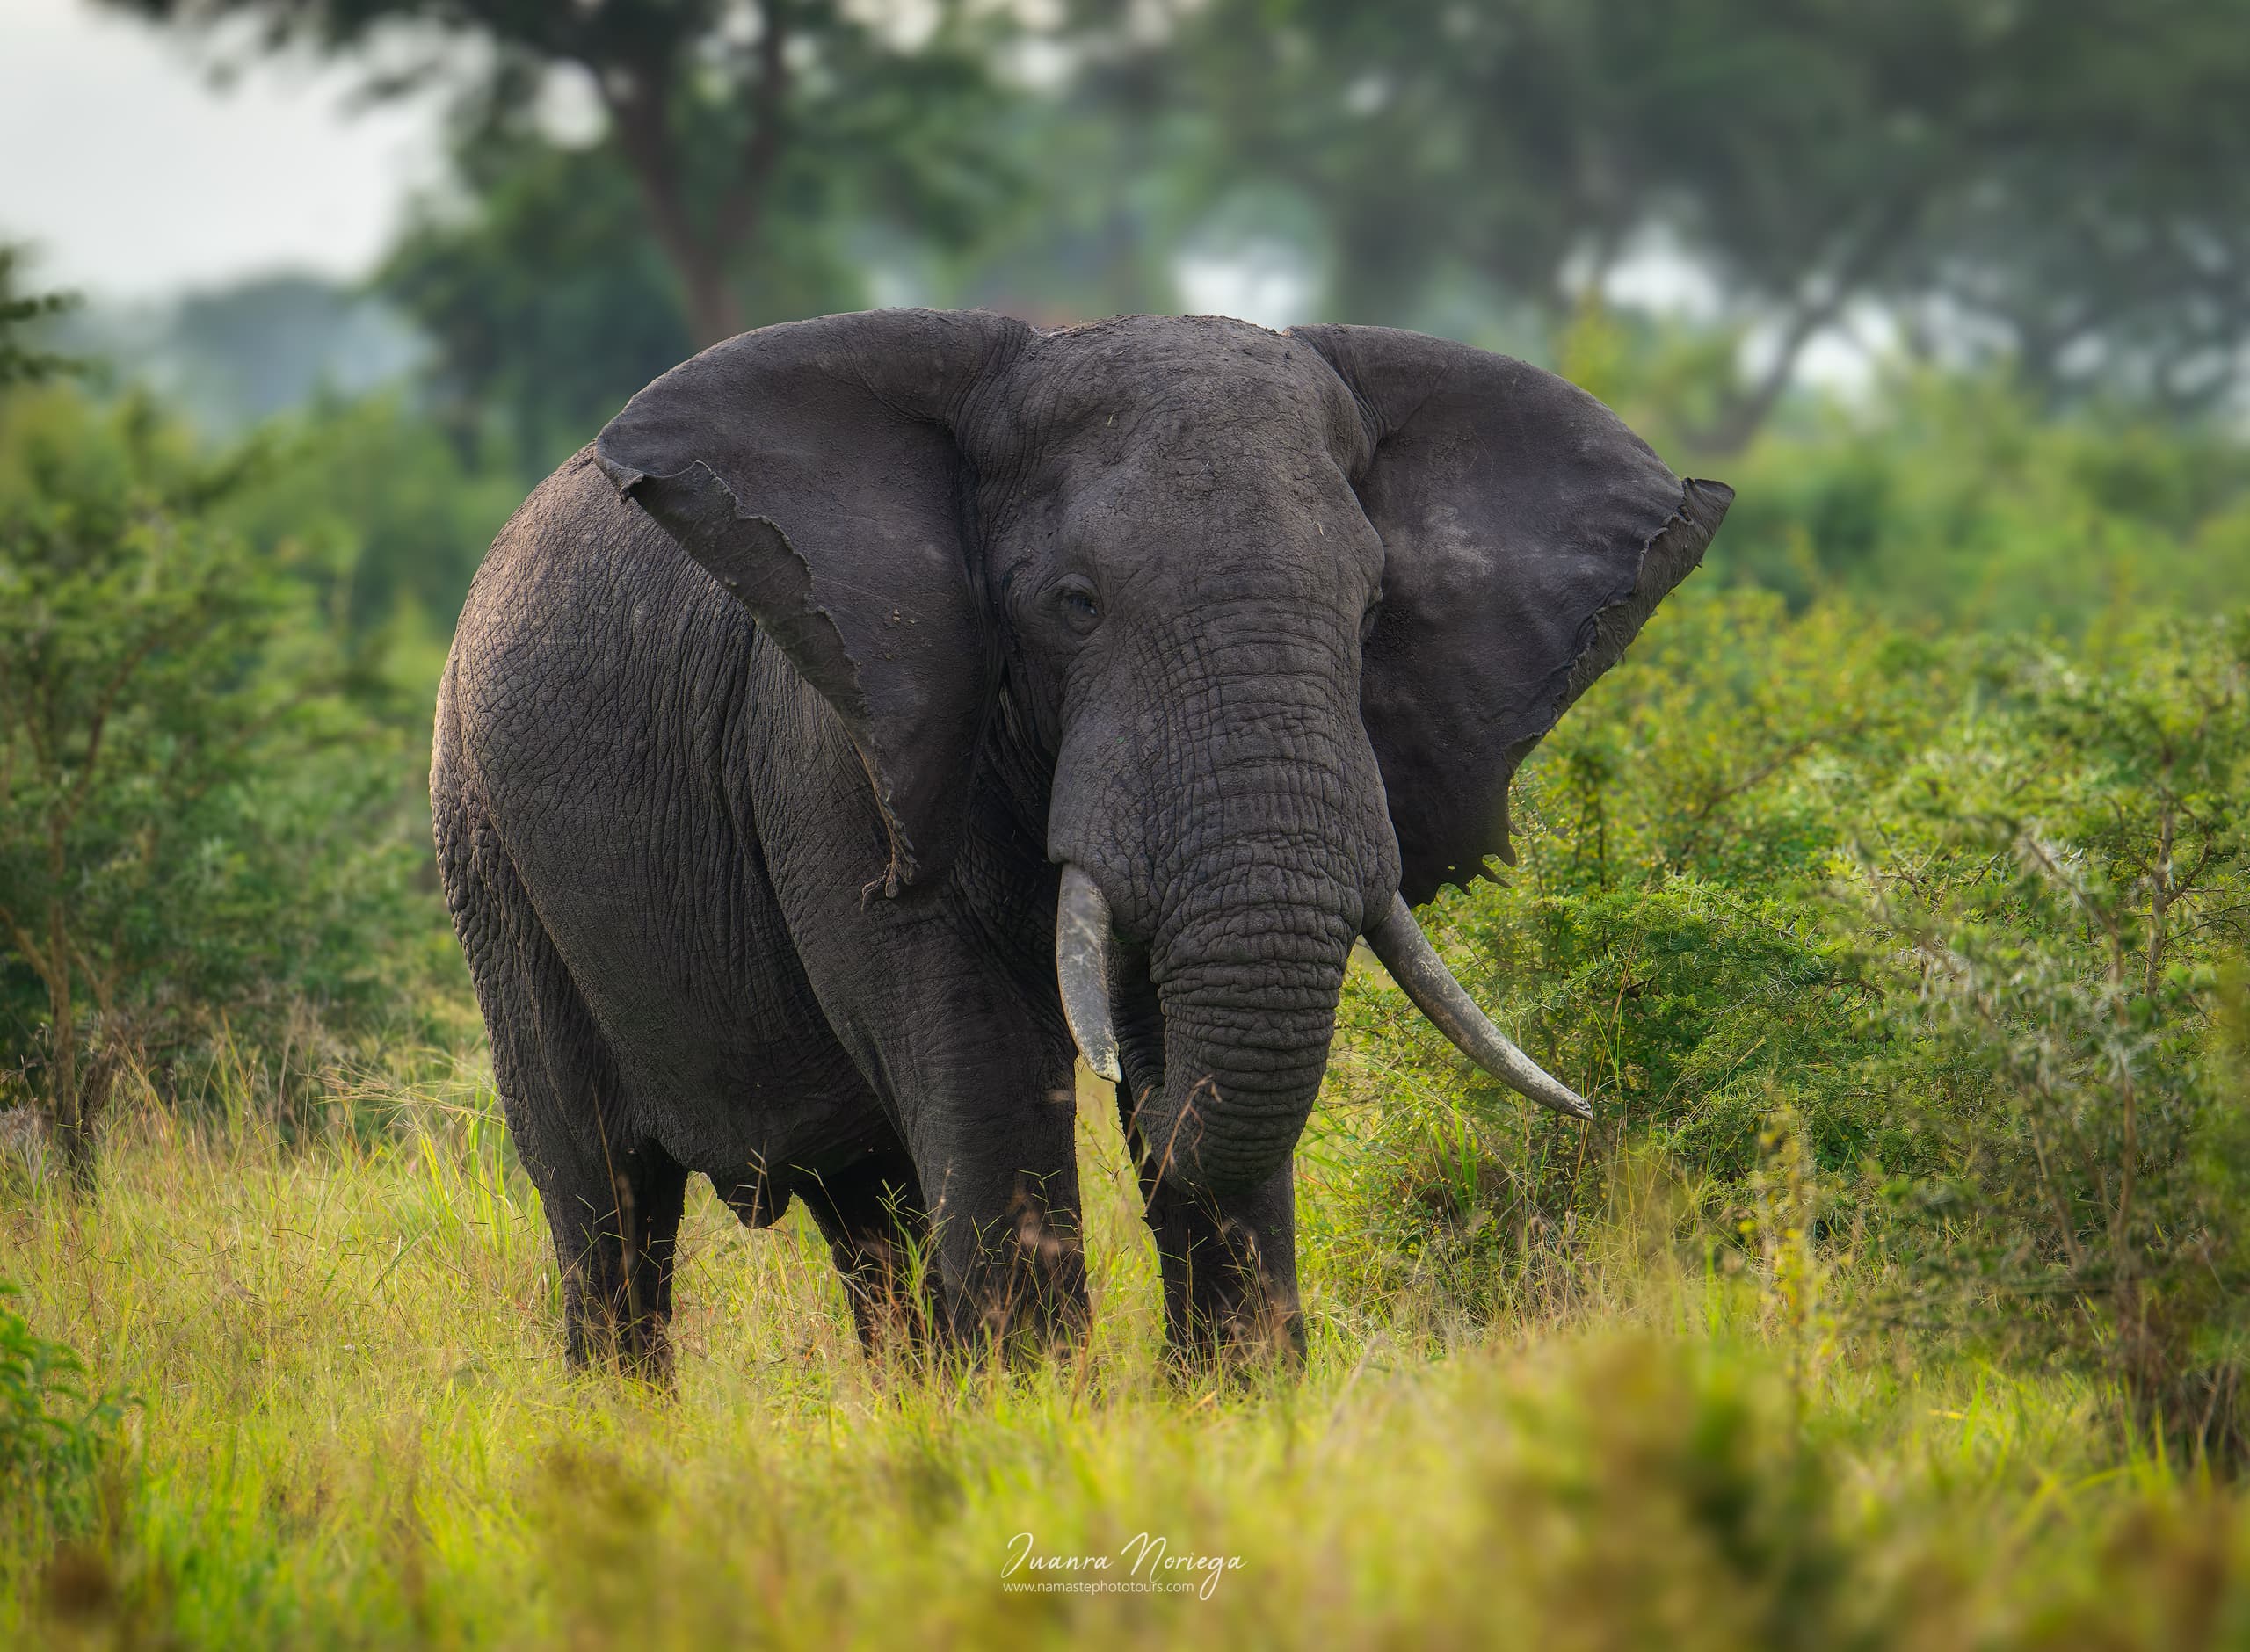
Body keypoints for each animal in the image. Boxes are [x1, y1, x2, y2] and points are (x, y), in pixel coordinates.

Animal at [431, 308, 1730, 1375]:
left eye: (1371, 615)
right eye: (1075, 606)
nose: (1135, 1086)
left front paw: (1228, 1410)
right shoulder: (845, 748)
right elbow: (988, 1072)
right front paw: (1042, 1415)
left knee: (871, 1209)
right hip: (488, 850)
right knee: (606, 1203)